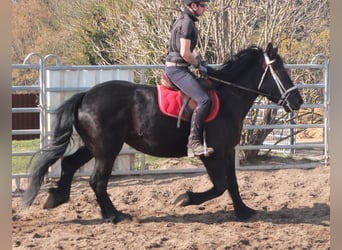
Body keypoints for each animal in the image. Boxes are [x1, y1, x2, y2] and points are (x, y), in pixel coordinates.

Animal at [23, 43, 302, 223]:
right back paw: (114, 215)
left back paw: (57, 197)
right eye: (279, 70)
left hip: (94, 147)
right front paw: (185, 198)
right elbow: (220, 185)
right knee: (97, 181)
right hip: (107, 150)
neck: (227, 97)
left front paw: (244, 211)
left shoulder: (226, 151)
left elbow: (232, 184)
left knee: (70, 164)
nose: (298, 101)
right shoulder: (210, 154)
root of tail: (85, 96)